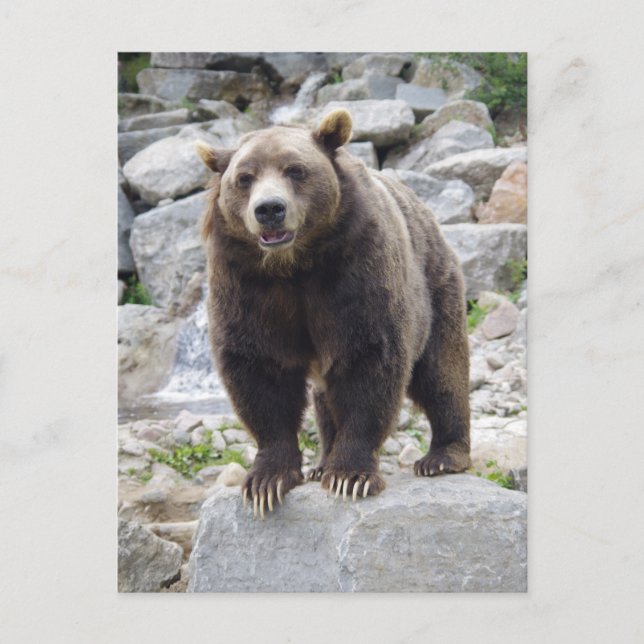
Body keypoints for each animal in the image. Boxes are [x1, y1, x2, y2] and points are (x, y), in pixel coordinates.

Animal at [196, 108, 471, 518]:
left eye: (295, 170)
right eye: (244, 178)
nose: (269, 210)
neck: (293, 266)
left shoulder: (354, 268)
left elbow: (368, 358)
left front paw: (349, 475)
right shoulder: (246, 282)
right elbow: (259, 369)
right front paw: (267, 481)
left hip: (436, 286)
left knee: (442, 371)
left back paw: (443, 456)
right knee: (326, 396)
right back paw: (321, 462)